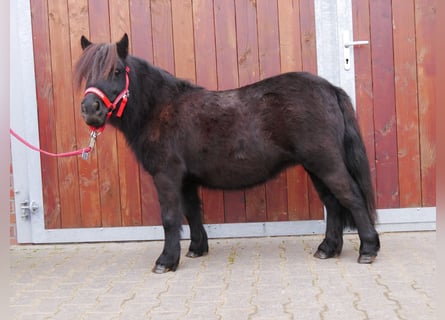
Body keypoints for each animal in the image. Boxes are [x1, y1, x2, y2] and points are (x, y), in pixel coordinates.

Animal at [74, 33, 380, 272]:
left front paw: (166, 261)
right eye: (87, 73)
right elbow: (192, 212)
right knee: (333, 203)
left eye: (116, 71)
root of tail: (330, 89)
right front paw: (196, 248)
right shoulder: (186, 179)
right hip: (315, 166)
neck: (159, 109)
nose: (90, 110)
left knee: (350, 197)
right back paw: (328, 248)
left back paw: (368, 249)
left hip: (325, 163)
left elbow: (170, 217)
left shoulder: (167, 175)